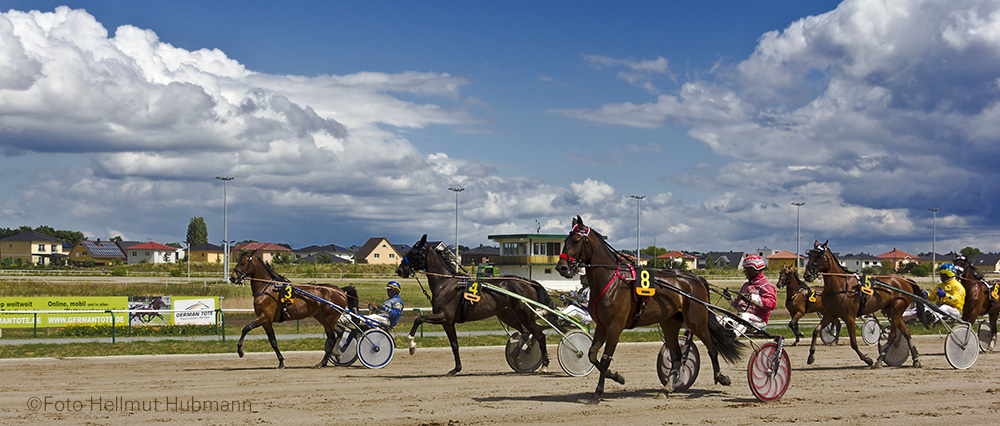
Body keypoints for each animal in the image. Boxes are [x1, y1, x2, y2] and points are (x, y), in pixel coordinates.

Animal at [396, 233, 556, 376]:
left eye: (414, 252)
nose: (399, 270)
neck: (445, 283)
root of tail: (528, 281)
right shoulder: (448, 323)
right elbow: (454, 345)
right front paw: (456, 369)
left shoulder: (444, 316)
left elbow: (418, 319)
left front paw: (412, 346)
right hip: (508, 315)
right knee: (526, 332)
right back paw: (516, 356)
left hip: (525, 315)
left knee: (539, 335)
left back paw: (544, 365)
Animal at [556, 216, 744, 400]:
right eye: (566, 241)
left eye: (576, 241)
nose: (561, 267)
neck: (611, 281)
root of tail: (696, 279)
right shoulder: (602, 326)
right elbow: (592, 355)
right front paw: (617, 377)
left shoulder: (615, 326)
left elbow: (604, 359)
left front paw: (598, 392)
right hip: (670, 324)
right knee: (677, 356)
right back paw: (667, 388)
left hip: (696, 321)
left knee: (712, 348)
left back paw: (721, 377)